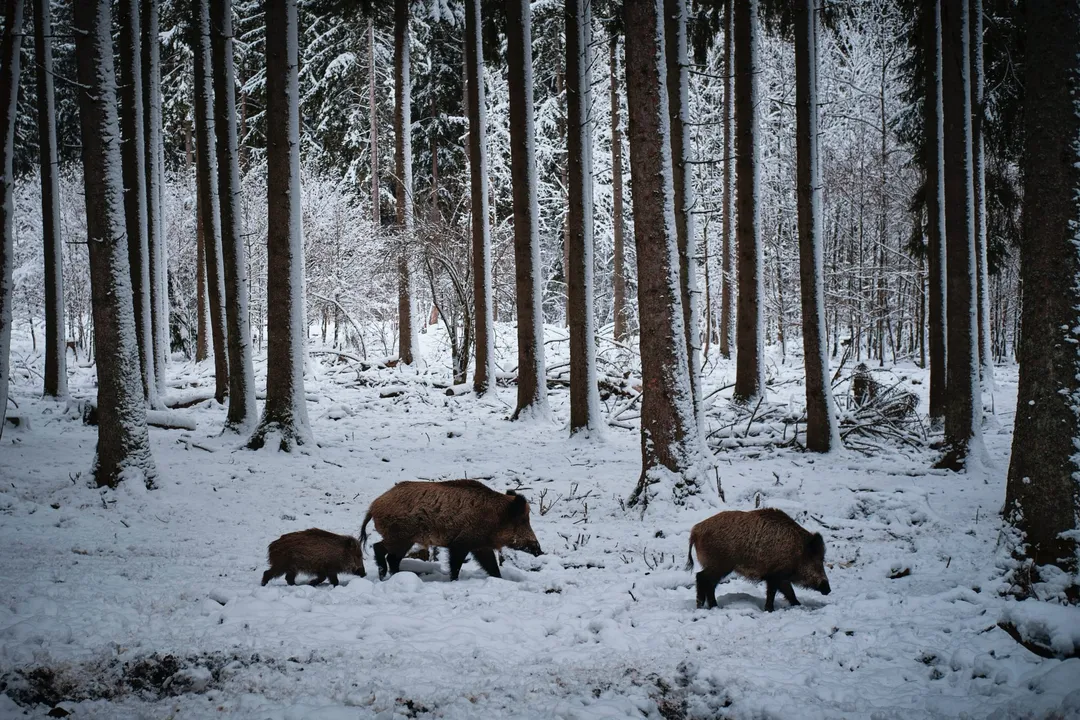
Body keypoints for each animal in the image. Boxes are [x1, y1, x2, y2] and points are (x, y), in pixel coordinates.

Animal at [359, 479, 543, 581]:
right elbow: (456, 565)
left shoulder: (480, 546)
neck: (496, 517)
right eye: (523, 521)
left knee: (390, 556)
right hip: (400, 537)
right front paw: (453, 581)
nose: (540, 551)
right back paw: (386, 575)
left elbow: (492, 566)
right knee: (380, 549)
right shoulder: (460, 543)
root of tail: (373, 506)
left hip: (403, 539)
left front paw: (499, 579)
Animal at [686, 508, 831, 611]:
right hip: (720, 564)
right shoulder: (775, 575)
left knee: (707, 582)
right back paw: (711, 606)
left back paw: (707, 606)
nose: (828, 590)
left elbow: (790, 592)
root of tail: (695, 531)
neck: (797, 552)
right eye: (818, 560)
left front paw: (797, 605)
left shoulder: (781, 576)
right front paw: (769, 610)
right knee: (702, 578)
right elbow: (773, 592)